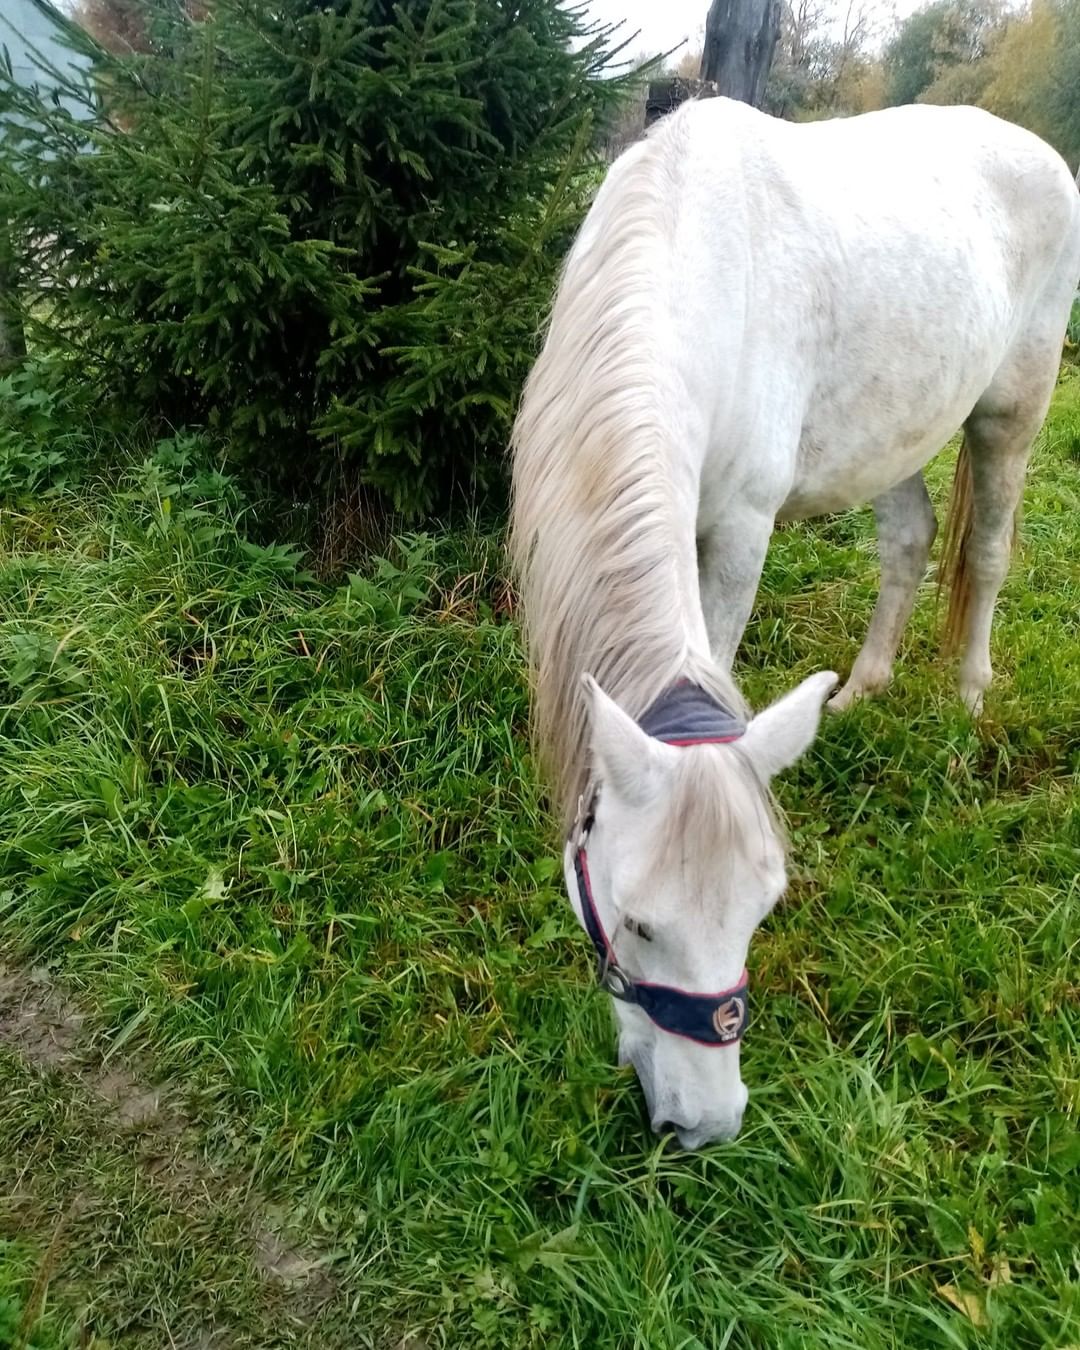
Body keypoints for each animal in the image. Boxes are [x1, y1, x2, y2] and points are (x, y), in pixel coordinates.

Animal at [507, 97, 1080, 1150]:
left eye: (762, 911)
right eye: (639, 922)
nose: (705, 1124)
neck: (686, 259)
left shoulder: (738, 529)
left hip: (1012, 409)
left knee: (985, 552)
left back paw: (968, 699)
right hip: (896, 429)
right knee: (909, 539)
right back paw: (862, 693)